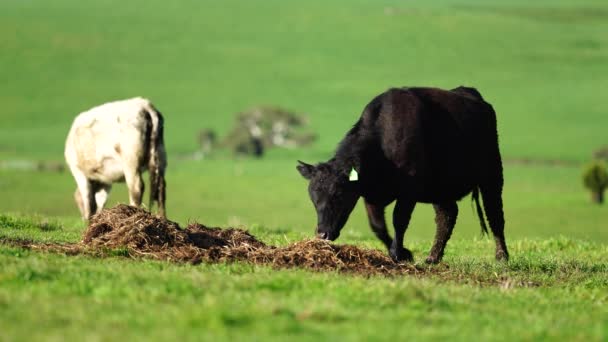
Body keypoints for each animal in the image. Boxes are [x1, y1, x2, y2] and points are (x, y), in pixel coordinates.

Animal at [296, 87, 506, 264]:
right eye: (313, 198)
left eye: (338, 194)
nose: (322, 234)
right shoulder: (370, 195)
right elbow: (377, 226)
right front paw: (402, 252)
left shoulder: (409, 190)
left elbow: (399, 220)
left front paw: (399, 253)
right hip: (441, 187)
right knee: (447, 216)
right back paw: (433, 257)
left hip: (492, 174)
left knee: (494, 214)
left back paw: (501, 256)